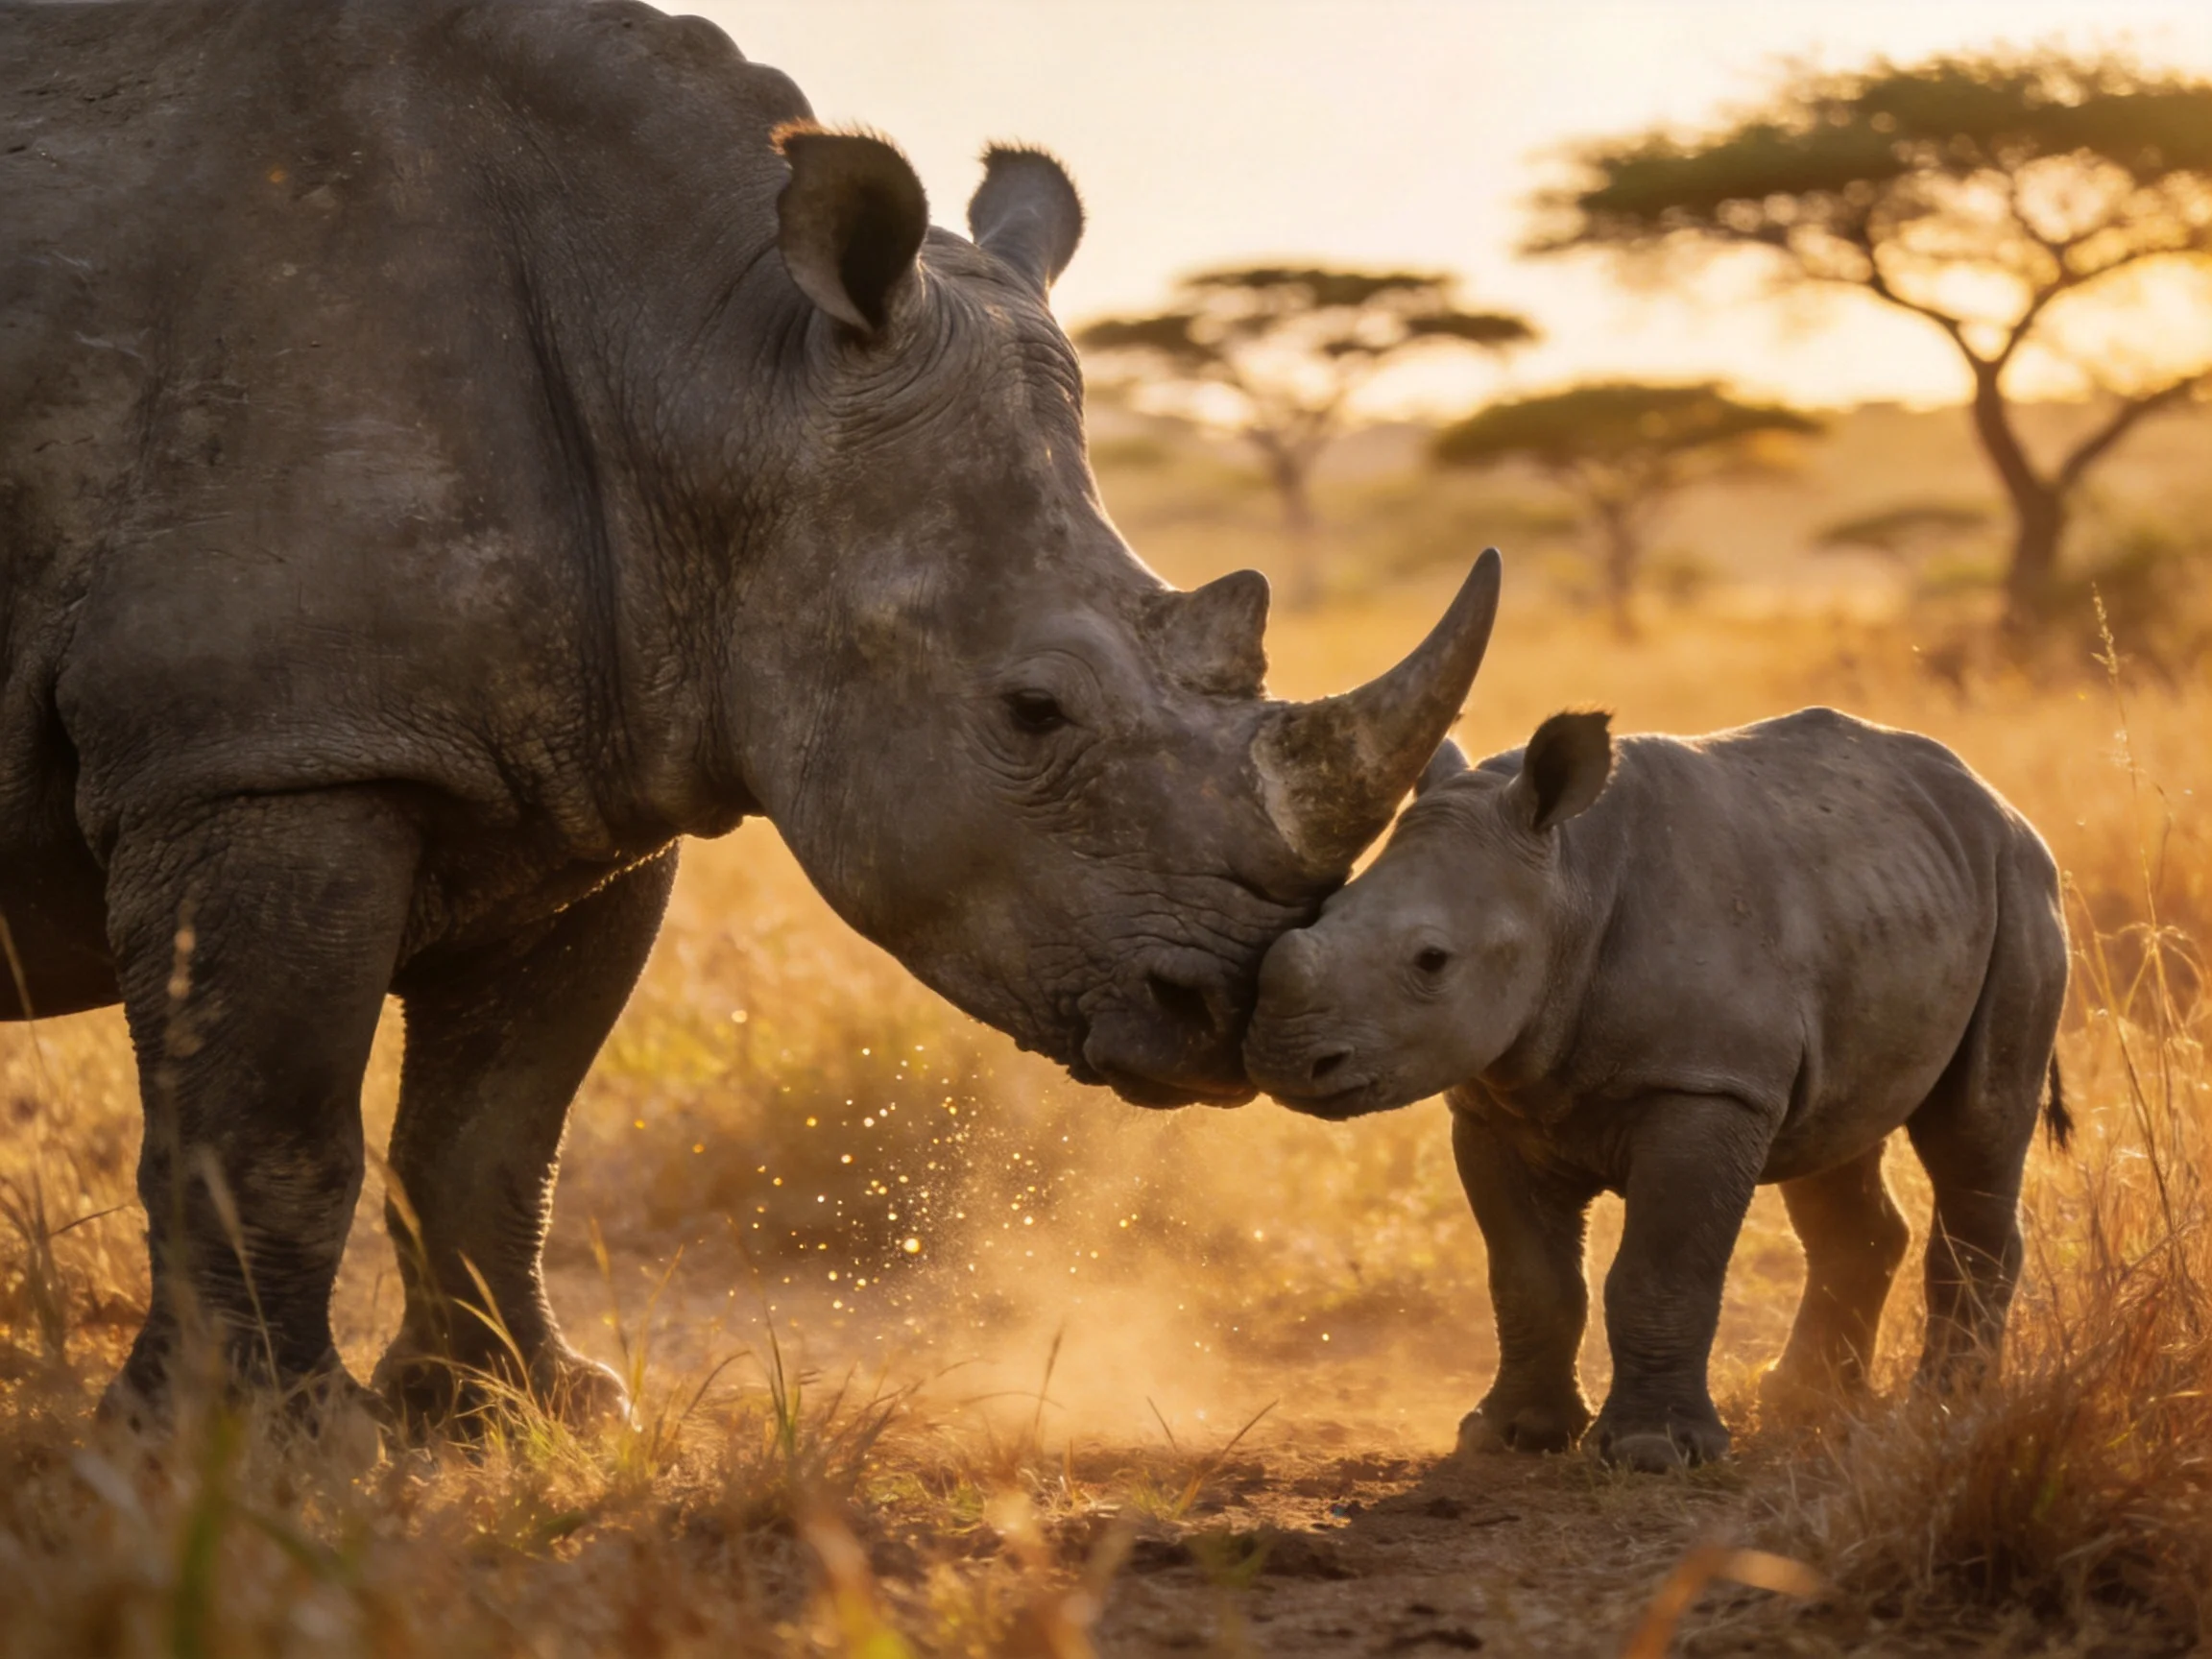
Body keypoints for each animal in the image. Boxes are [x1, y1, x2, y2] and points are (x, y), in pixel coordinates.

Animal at [0, 0, 1502, 1423]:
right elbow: (265, 1126)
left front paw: (520, 1412)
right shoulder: (260, 751)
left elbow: (496, 1128)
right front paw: (260, 1455)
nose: (1229, 1005)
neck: (714, 366)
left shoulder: (578, 773)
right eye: (1032, 711)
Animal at [1244, 707, 2069, 1469]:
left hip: (2020, 888)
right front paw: (1508, 1436)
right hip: (1880, 906)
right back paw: (1802, 1399)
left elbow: (1660, 1271)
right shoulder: (1492, 1108)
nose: (1286, 1059)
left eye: (1431, 961)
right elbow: (1530, 1278)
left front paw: (1653, 1453)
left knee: (1977, 1128)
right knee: (1837, 1141)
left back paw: (1941, 1409)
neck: (1565, 884)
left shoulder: (1706, 1089)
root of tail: (1995, 800)